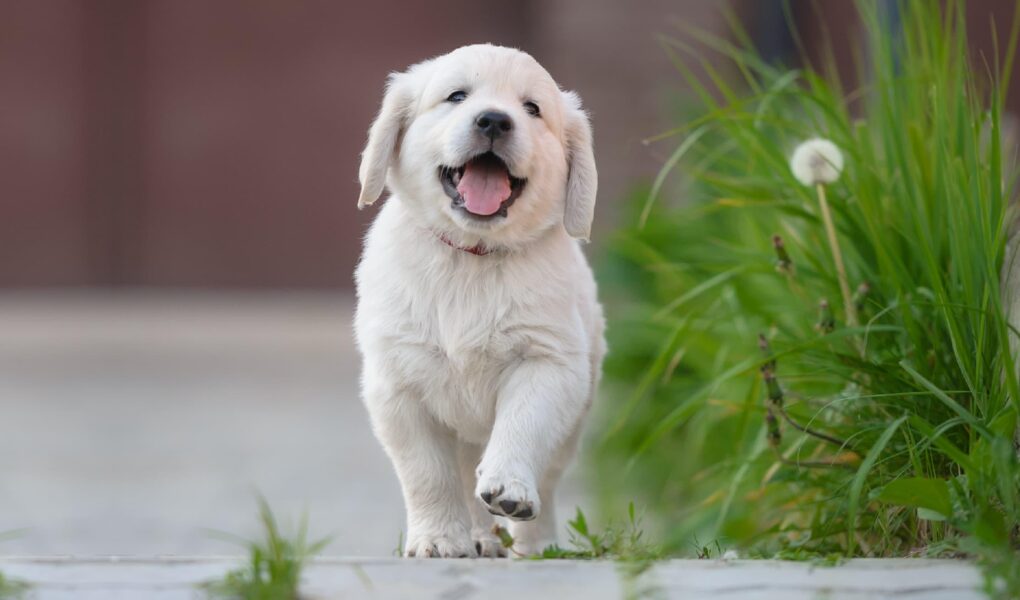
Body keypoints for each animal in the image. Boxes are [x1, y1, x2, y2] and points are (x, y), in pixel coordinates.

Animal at [354, 43, 599, 559]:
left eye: (532, 108)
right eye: (457, 96)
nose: (493, 121)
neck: (471, 256)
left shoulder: (548, 363)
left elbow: (522, 426)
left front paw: (509, 488)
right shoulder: (397, 385)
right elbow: (428, 473)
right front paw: (439, 539)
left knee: (545, 481)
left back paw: (535, 544)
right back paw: (478, 538)